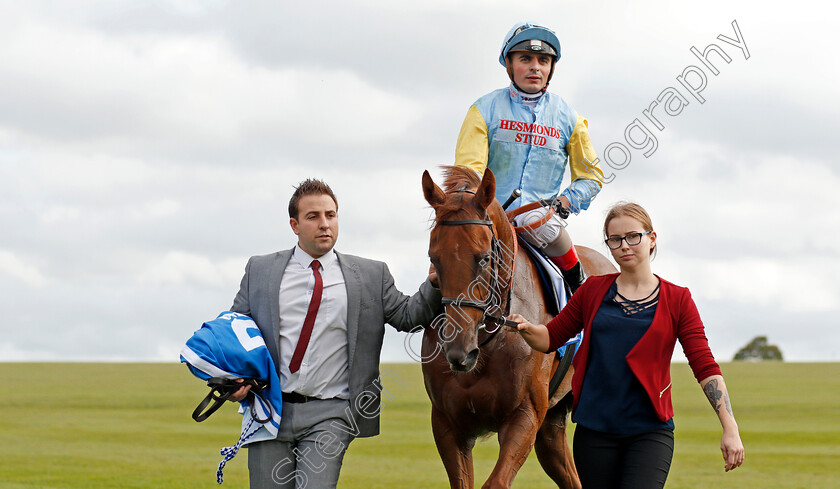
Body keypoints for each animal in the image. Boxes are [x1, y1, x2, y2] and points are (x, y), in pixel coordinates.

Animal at [424, 166, 612, 486]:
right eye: (433, 258)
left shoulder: (524, 416)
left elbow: (496, 482)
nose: (459, 353)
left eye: (484, 257)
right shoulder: (448, 424)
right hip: (551, 427)